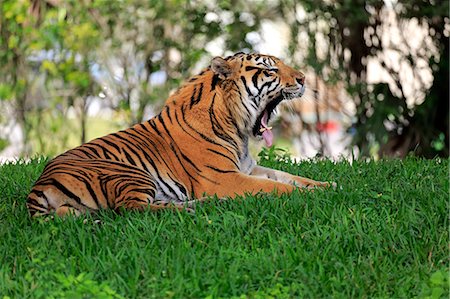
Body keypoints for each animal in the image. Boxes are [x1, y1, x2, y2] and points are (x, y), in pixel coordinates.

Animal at [26, 52, 332, 218]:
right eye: (269, 69)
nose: (304, 79)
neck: (237, 129)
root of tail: (38, 186)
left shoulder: (249, 168)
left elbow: (289, 176)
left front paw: (327, 185)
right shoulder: (224, 178)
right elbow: (278, 186)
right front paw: (309, 195)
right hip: (128, 173)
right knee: (132, 208)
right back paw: (197, 207)